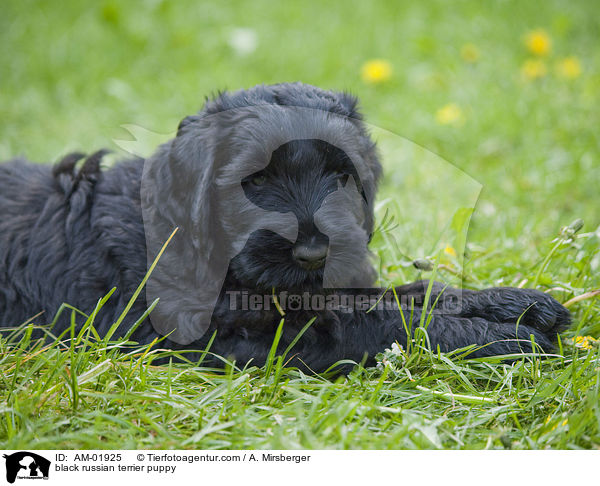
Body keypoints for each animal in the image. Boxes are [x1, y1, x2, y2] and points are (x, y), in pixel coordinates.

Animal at [0, 82, 568, 372]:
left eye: (342, 176)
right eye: (254, 181)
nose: (314, 253)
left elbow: (406, 292)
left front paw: (513, 303)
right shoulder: (225, 335)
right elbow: (370, 322)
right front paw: (501, 337)